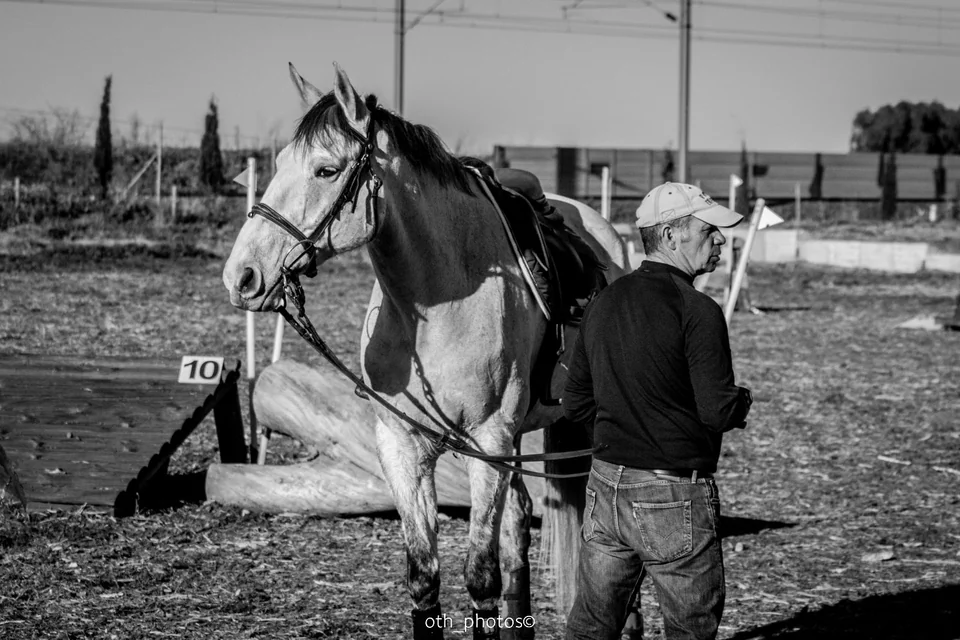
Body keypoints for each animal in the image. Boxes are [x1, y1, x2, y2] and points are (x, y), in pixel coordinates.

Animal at [222, 62, 630, 639]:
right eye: (277, 165)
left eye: (326, 170)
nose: (242, 276)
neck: (438, 305)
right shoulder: (402, 446)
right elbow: (424, 578)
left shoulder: (489, 440)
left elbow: (480, 579)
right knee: (517, 532)